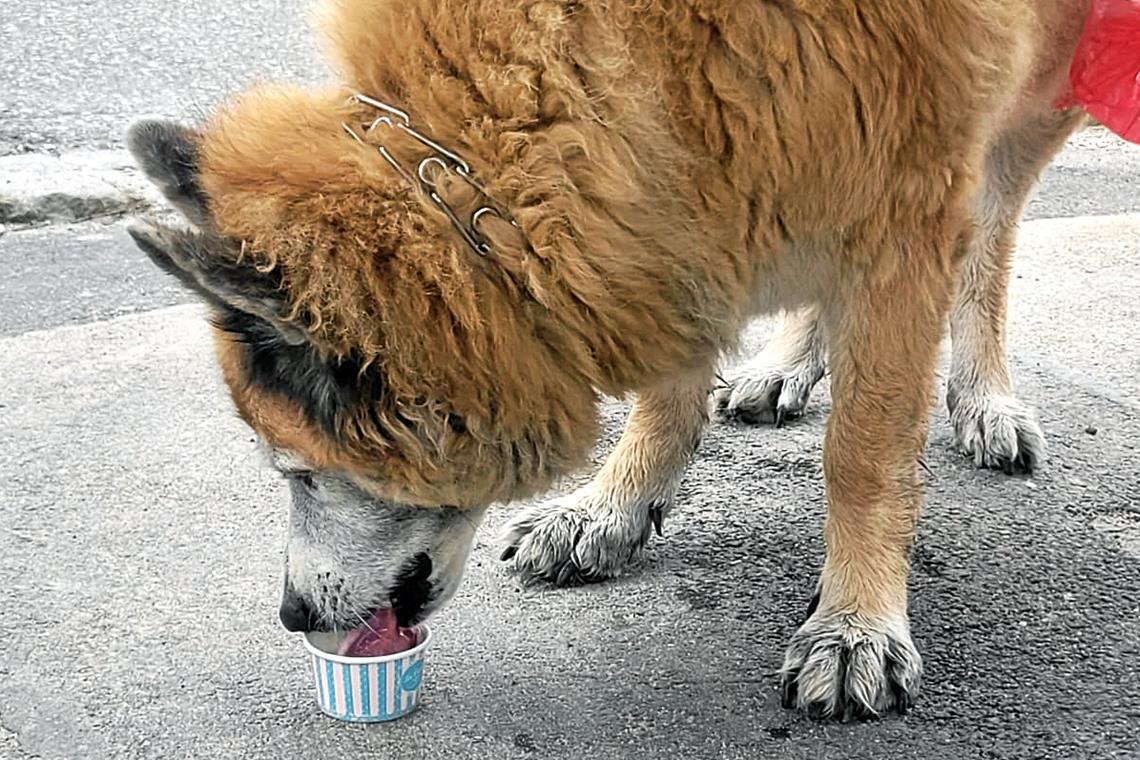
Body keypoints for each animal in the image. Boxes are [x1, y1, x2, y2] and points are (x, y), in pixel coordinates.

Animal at [124, 0, 1085, 720]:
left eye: (298, 471)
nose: (290, 616)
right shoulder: (692, 199)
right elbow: (669, 387)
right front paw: (613, 507)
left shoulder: (907, 199)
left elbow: (864, 450)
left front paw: (854, 621)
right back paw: (788, 364)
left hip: (1042, 92)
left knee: (991, 230)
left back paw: (985, 400)